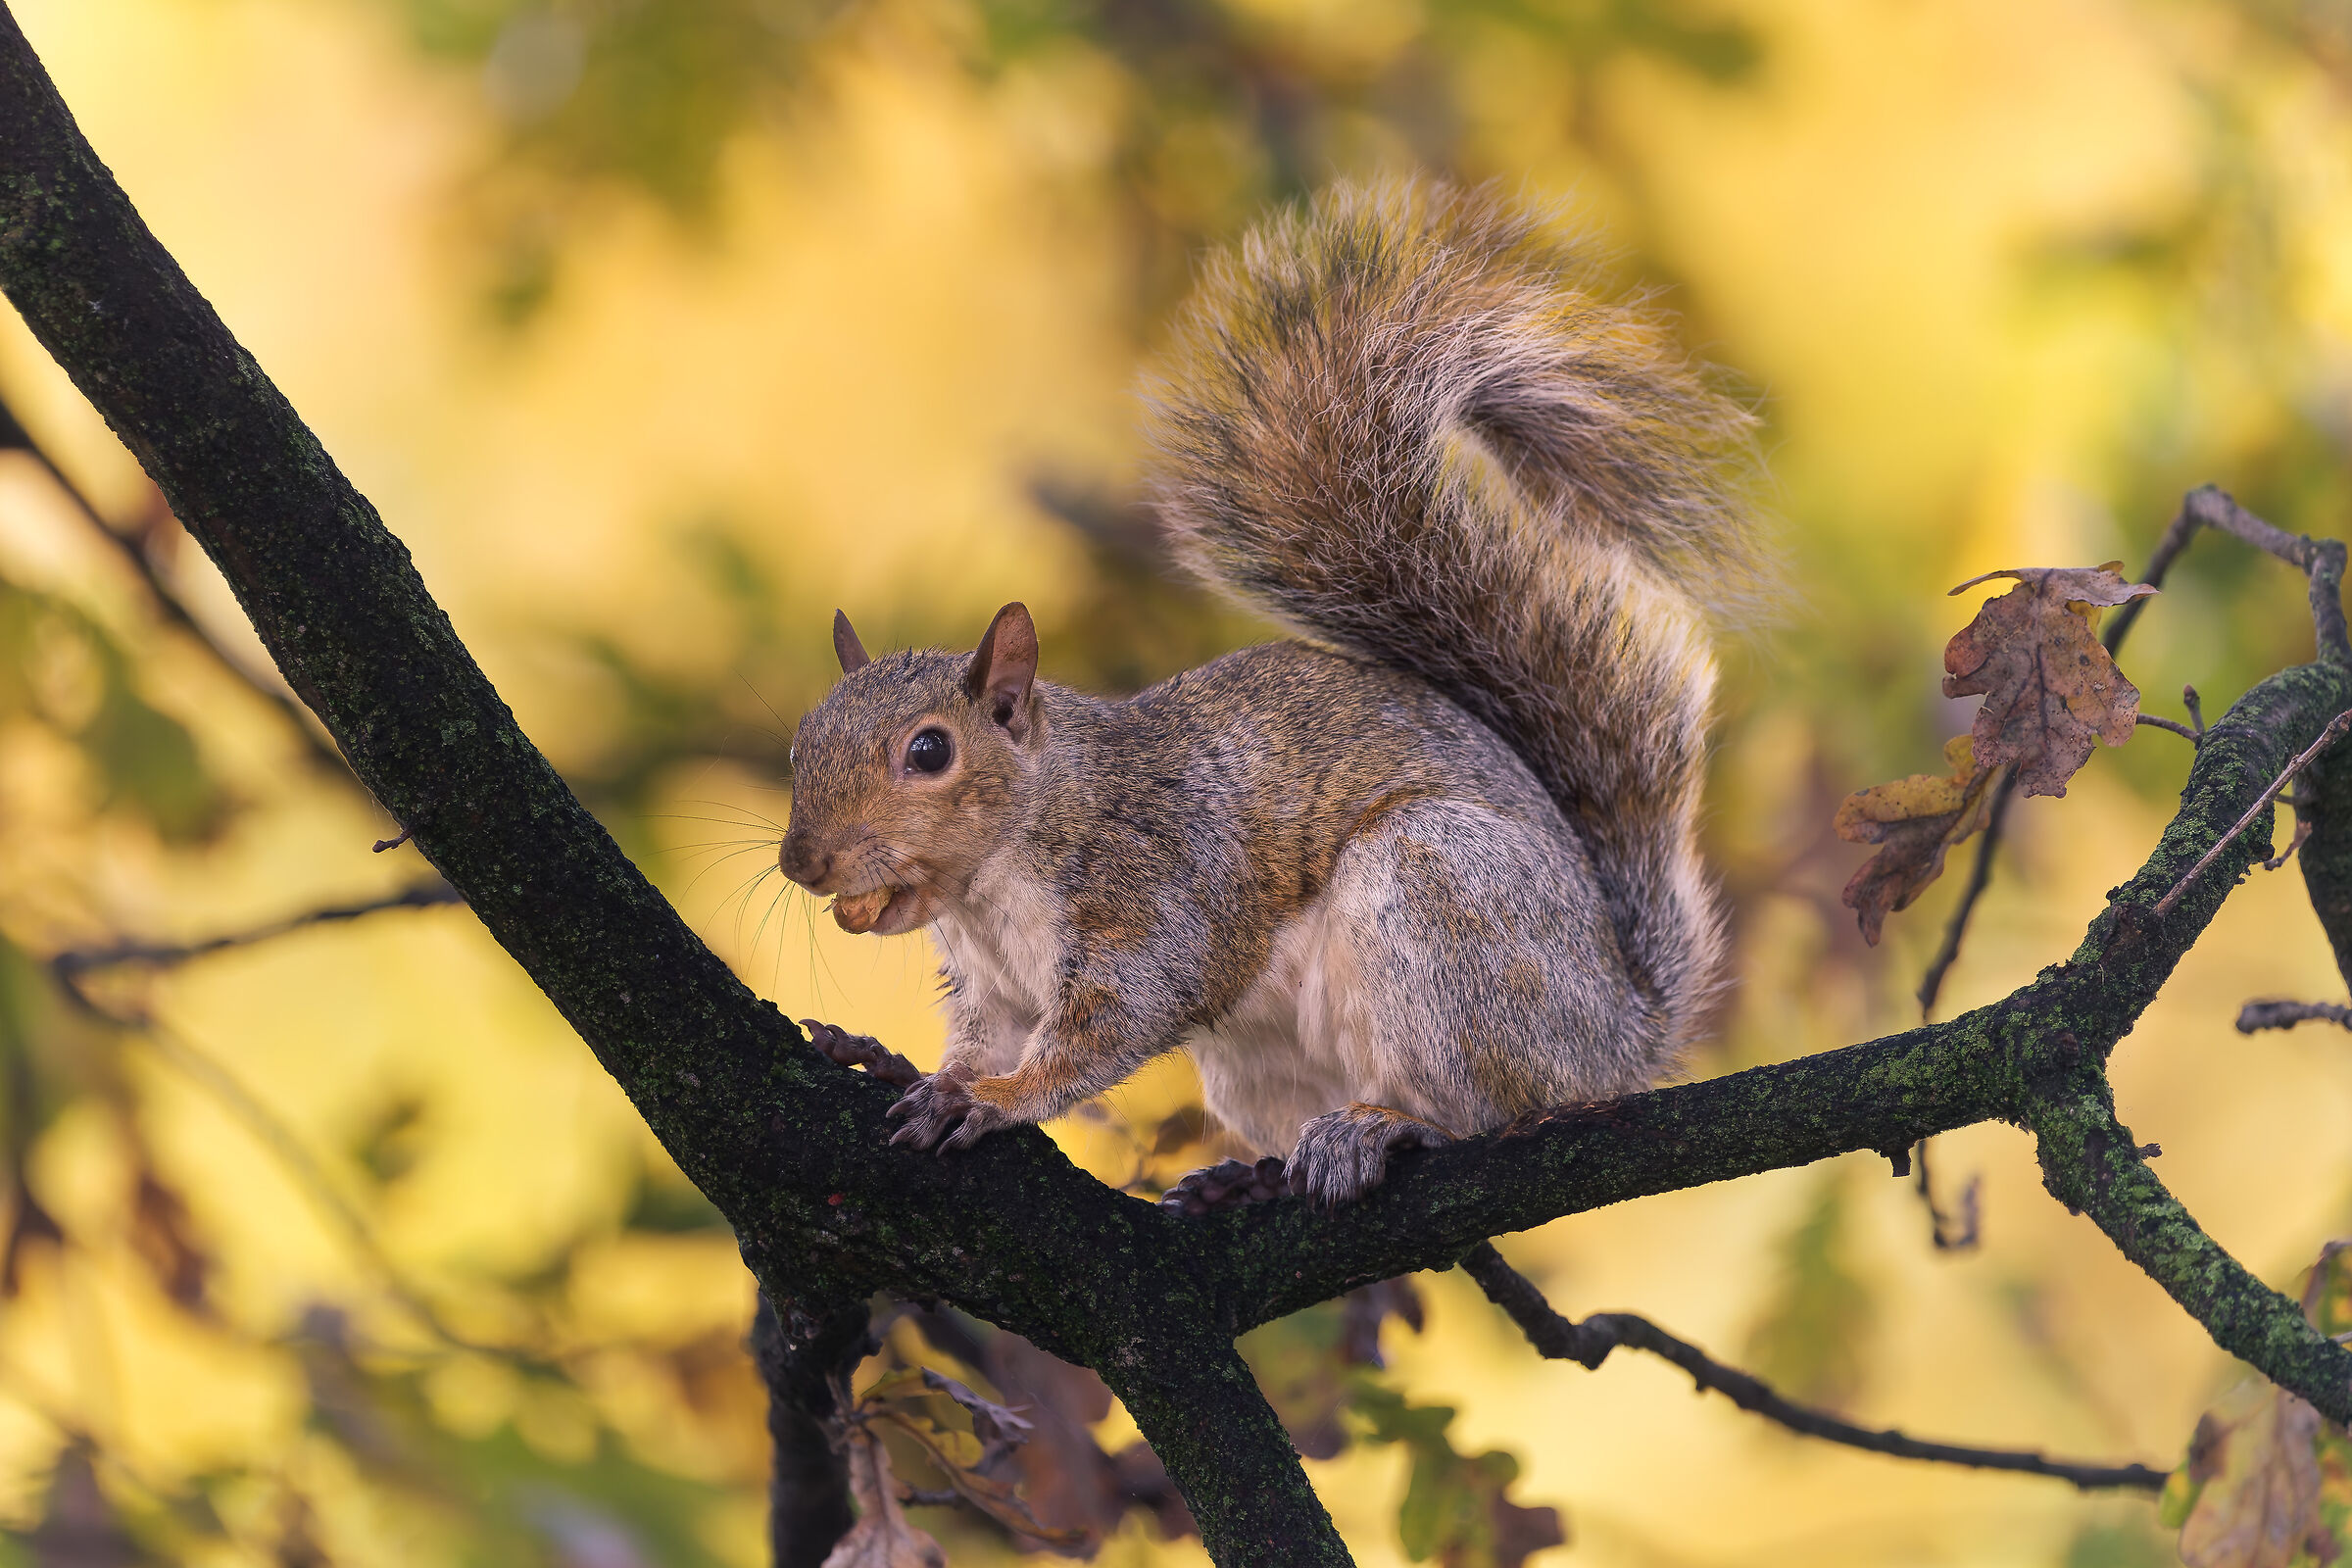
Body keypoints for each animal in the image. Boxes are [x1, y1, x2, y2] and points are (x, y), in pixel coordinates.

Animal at [779, 178, 1760, 1206]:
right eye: (800, 742)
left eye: (929, 751)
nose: (802, 862)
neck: (998, 871)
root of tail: (1621, 1031)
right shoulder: (991, 986)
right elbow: (984, 1039)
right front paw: (943, 1079)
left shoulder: (1154, 896)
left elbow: (1108, 1029)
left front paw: (995, 1099)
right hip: (1264, 1066)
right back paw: (1253, 1178)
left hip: (1443, 908)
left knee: (1492, 1105)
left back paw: (1389, 1124)